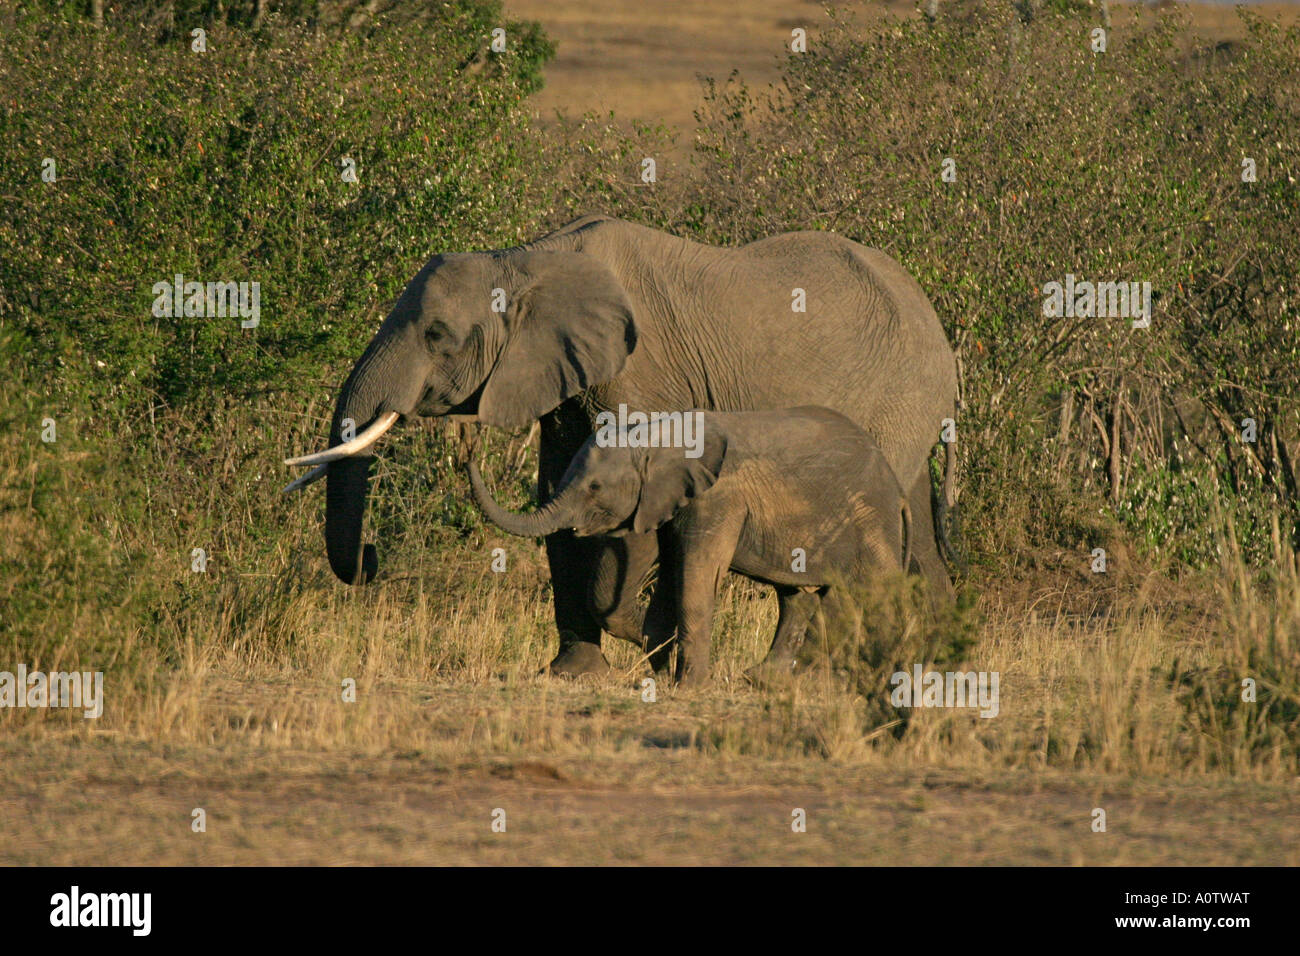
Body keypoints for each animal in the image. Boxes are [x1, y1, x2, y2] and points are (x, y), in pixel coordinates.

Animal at [466, 406, 914, 686]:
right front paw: (662, 671)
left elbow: (696, 576)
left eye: (594, 487)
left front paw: (689, 685)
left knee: (877, 592)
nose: (470, 443)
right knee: (797, 596)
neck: (654, 436)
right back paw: (767, 681)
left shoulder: (718, 498)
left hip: (870, 518)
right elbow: (669, 574)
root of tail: (899, 491)